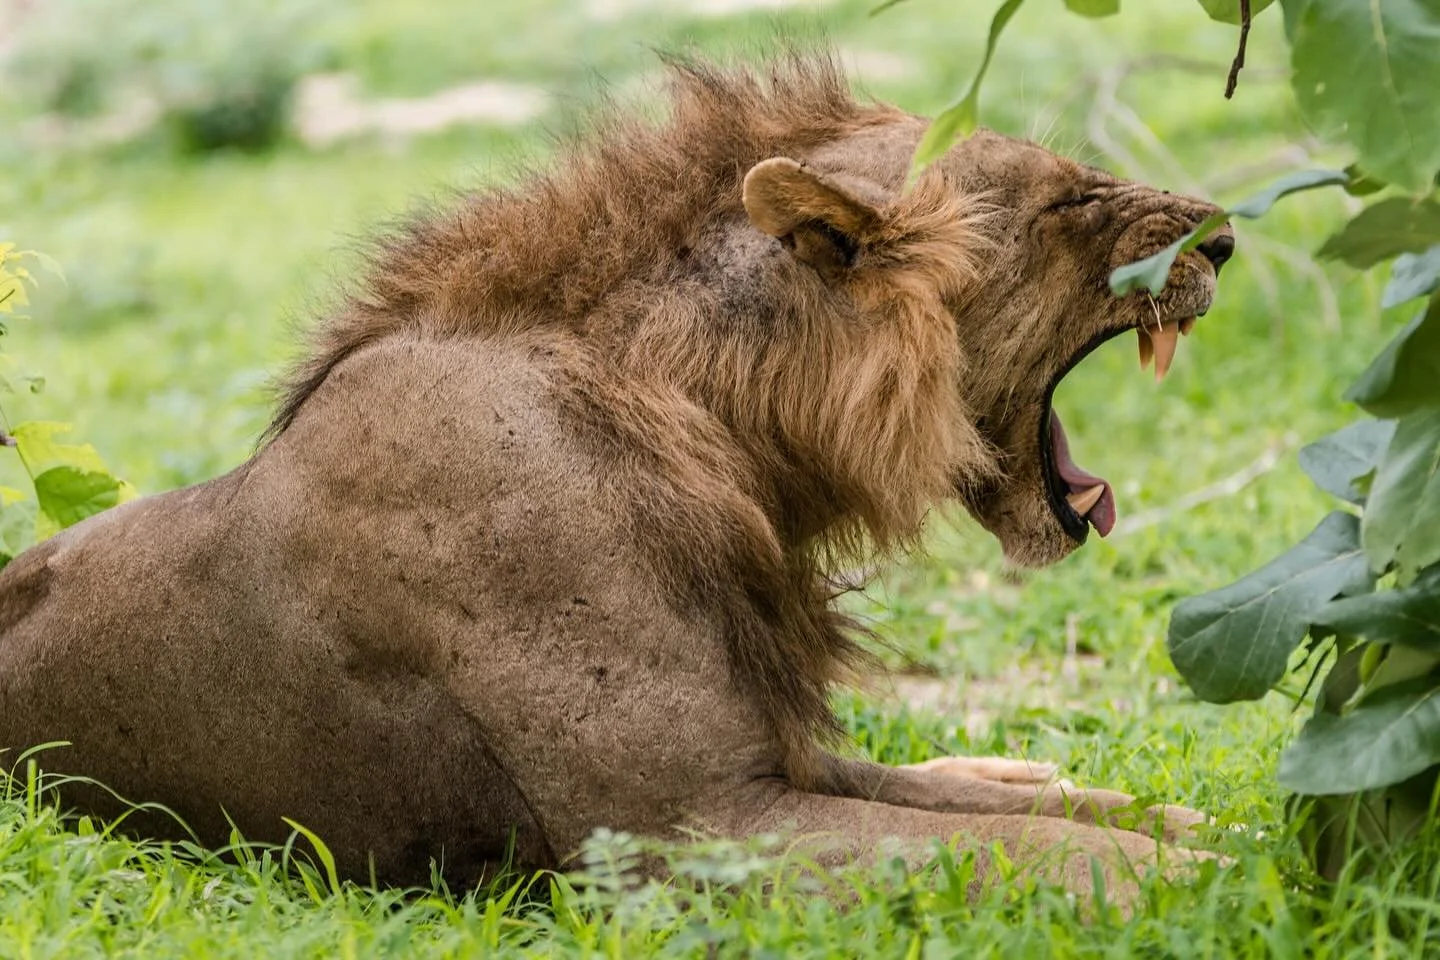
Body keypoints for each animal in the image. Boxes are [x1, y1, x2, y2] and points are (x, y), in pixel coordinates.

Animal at [0, 55, 1234, 897]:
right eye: (1071, 202)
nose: (1223, 235)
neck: (729, 432)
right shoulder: (684, 828)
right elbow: (1038, 852)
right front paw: (1224, 879)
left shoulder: (769, 759)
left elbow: (1070, 812)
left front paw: (1221, 828)